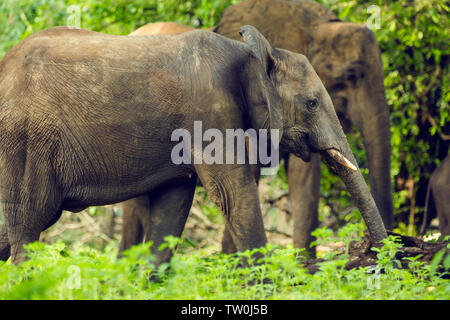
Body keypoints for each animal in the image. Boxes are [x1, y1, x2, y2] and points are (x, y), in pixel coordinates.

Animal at [0, 24, 386, 264]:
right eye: (312, 103)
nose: (378, 255)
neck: (251, 52)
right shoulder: (210, 112)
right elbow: (235, 194)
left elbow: (172, 208)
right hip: (25, 143)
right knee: (28, 226)